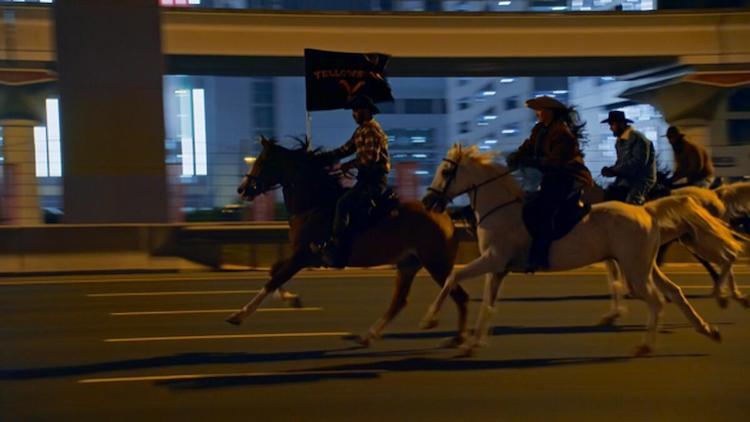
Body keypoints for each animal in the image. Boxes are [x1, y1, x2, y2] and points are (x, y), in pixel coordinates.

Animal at [225, 137, 470, 347]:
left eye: (263, 161)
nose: (242, 189)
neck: (314, 205)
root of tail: (446, 216)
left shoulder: (303, 256)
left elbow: (273, 280)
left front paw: (239, 315)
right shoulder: (303, 256)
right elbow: (274, 272)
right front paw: (291, 298)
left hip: (437, 264)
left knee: (459, 295)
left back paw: (458, 339)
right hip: (408, 264)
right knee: (400, 301)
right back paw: (368, 335)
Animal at [420, 144, 731, 357]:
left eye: (446, 171)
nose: (427, 202)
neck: (499, 209)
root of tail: (646, 211)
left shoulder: (491, 261)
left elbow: (453, 278)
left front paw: (430, 320)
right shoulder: (497, 269)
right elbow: (487, 304)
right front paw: (472, 344)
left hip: (635, 271)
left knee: (657, 301)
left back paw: (645, 346)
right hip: (644, 267)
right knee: (675, 293)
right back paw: (709, 330)